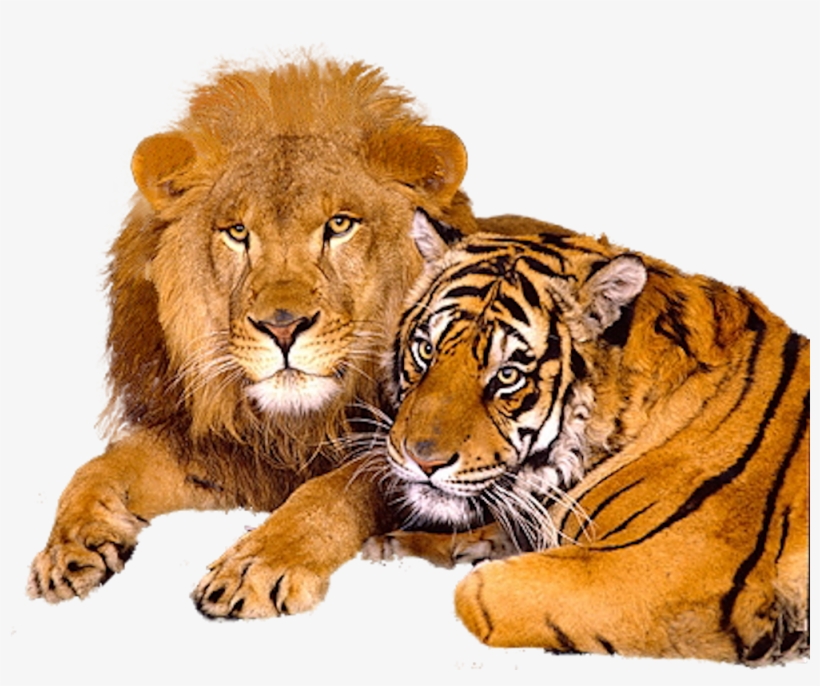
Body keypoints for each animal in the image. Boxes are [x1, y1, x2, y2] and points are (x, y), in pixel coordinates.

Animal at [27, 57, 479, 604]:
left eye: (340, 224)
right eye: (238, 232)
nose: (282, 328)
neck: (297, 427)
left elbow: (335, 490)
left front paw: (258, 565)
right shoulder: (226, 452)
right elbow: (101, 466)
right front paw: (67, 548)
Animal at [376, 210, 809, 664]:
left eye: (508, 376)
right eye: (426, 350)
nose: (422, 459)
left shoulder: (664, 572)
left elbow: (476, 596)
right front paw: (396, 546)